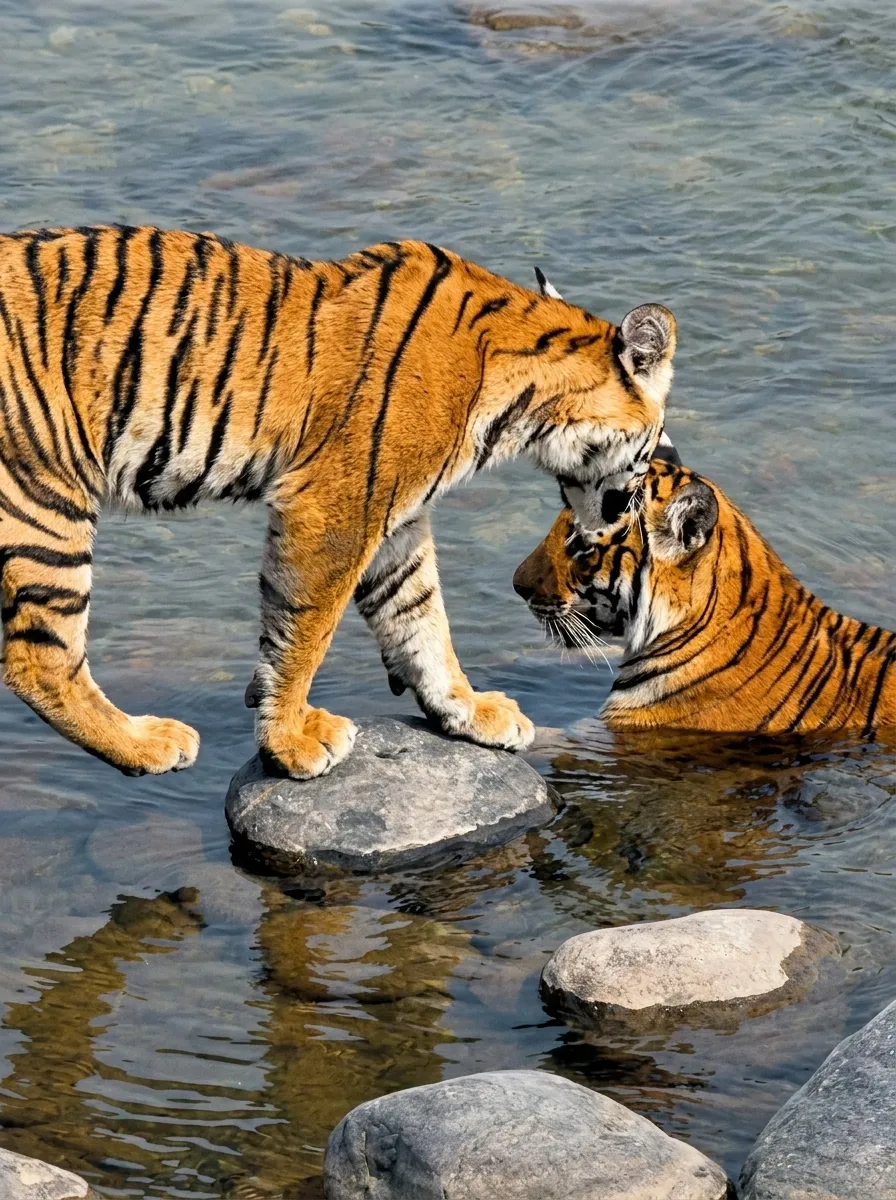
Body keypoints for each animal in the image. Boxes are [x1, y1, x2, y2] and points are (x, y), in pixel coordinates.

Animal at [0, 226, 677, 778]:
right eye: (657, 449)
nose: (624, 515)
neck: (522, 406)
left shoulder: (398, 518)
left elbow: (421, 617)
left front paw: (469, 710)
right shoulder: (338, 506)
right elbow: (305, 632)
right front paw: (290, 742)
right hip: (43, 501)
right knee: (39, 660)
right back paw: (150, 743)